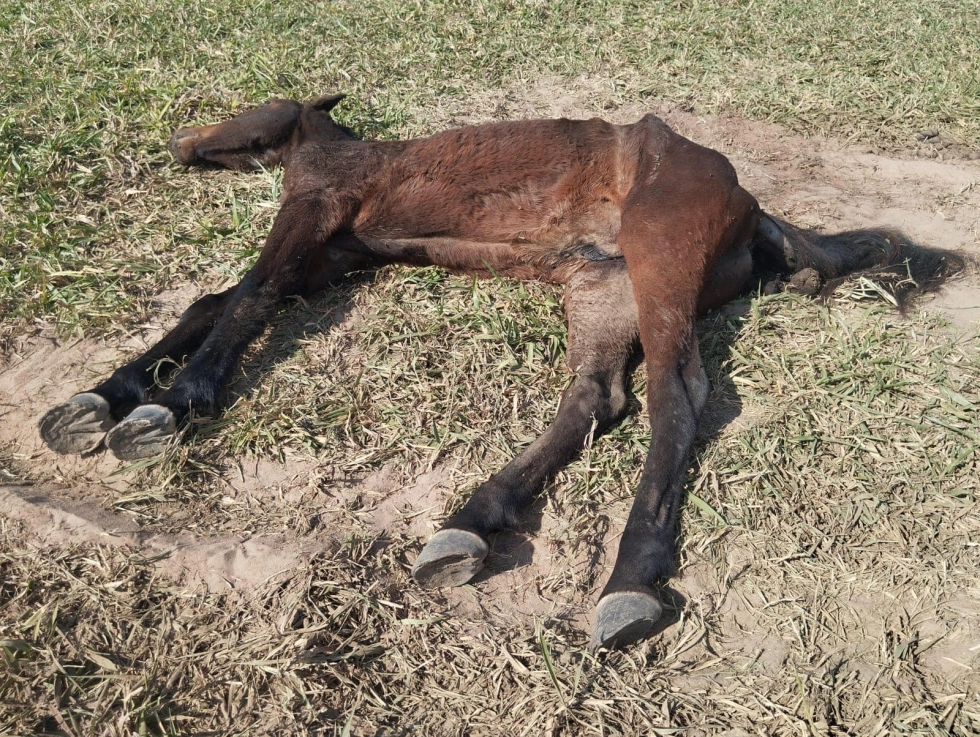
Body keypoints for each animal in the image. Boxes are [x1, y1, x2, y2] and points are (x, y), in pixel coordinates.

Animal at [38, 94, 963, 649]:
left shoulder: (317, 210)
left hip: (660, 253)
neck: (350, 152)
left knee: (677, 399)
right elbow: (215, 301)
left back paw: (628, 580)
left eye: (251, 110)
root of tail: (752, 208)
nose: (179, 142)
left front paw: (173, 404)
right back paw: (473, 522)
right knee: (597, 397)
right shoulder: (335, 256)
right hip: (602, 285)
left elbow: (245, 298)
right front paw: (98, 399)